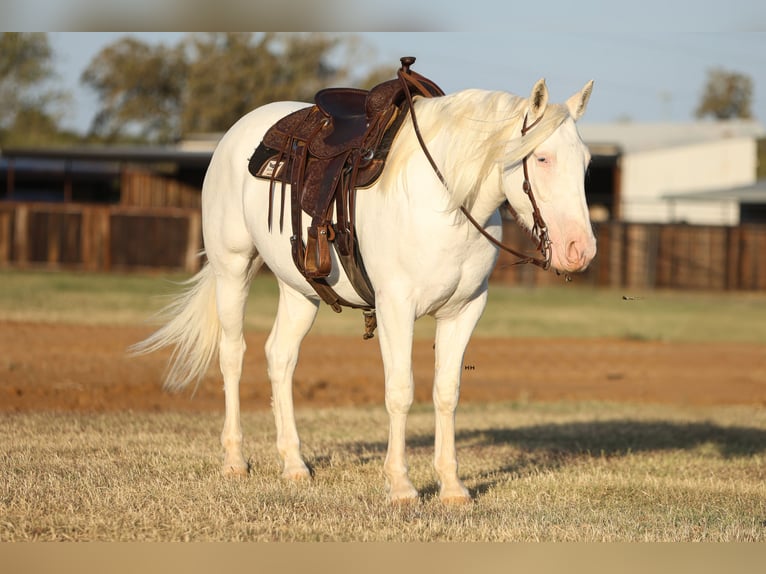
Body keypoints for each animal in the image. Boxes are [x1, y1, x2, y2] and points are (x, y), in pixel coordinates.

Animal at [132, 77, 600, 504]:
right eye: (541, 157)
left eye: (586, 162)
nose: (580, 250)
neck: (445, 202)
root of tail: (236, 134)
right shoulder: (396, 308)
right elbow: (401, 392)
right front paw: (402, 486)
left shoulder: (464, 310)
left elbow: (446, 394)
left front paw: (452, 487)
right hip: (233, 268)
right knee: (233, 355)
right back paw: (234, 460)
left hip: (300, 291)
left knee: (279, 358)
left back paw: (294, 464)